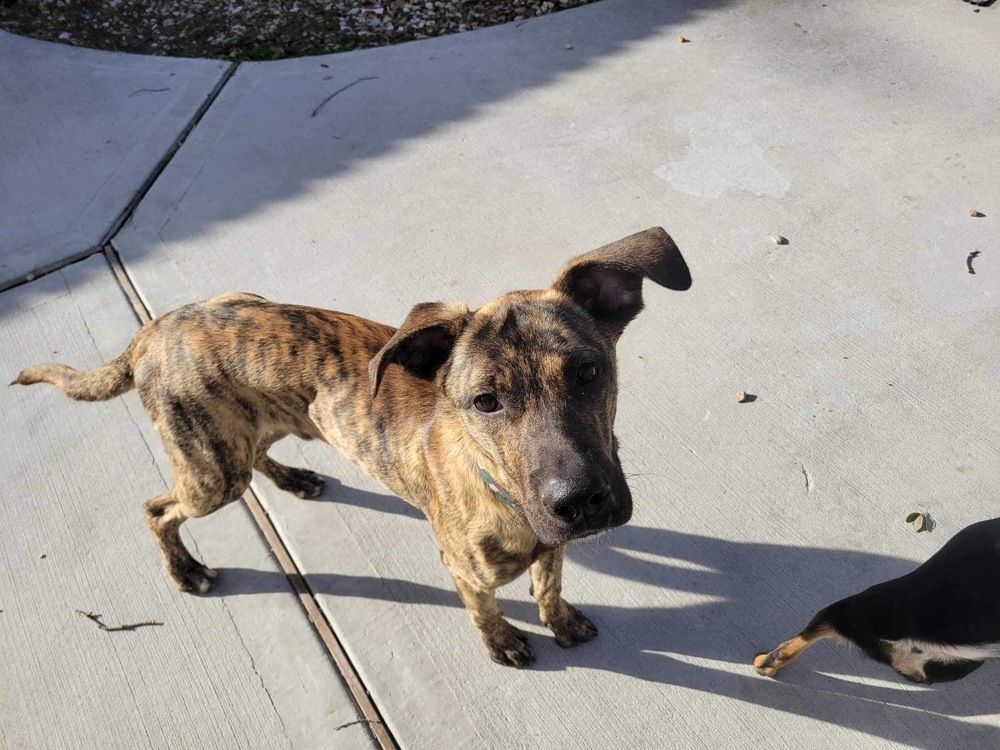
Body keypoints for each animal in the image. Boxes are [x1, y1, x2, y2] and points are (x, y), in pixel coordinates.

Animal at [13, 229, 688, 668]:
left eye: (589, 372)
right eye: (485, 402)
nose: (580, 502)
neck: (494, 484)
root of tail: (155, 329)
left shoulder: (551, 542)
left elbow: (548, 582)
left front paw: (560, 618)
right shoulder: (466, 571)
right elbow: (485, 610)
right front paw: (502, 642)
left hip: (254, 414)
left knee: (257, 449)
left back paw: (293, 479)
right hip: (210, 473)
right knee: (159, 510)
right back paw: (187, 571)